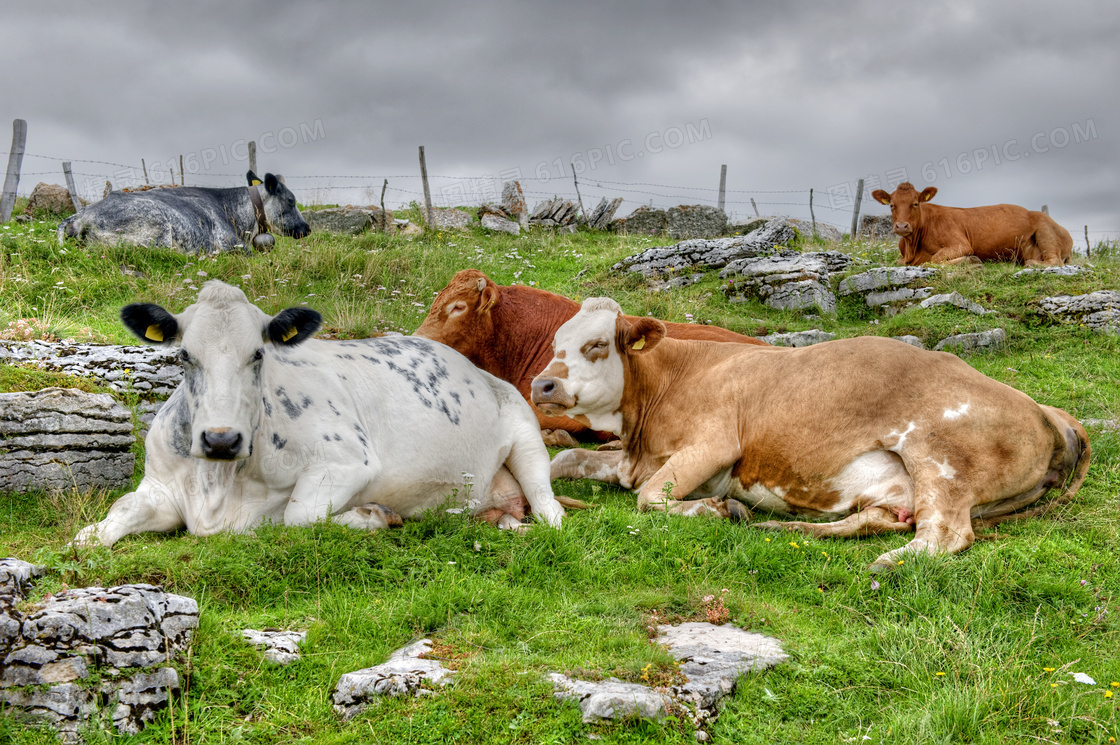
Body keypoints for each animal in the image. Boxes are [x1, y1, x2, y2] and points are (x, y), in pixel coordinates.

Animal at [75, 278, 568, 546]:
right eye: (184, 356)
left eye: (258, 354)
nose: (220, 439)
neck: (218, 486)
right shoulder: (159, 485)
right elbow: (109, 519)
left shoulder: (348, 460)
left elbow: (297, 518)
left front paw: (372, 515)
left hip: (526, 435)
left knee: (550, 510)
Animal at [528, 295, 1088, 569]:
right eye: (555, 342)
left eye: (597, 345)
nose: (542, 384)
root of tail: (1044, 409)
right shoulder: (631, 457)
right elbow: (563, 460)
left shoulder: (714, 443)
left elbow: (648, 498)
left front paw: (713, 509)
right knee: (878, 520)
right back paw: (783, 528)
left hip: (941, 458)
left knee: (944, 534)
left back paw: (888, 565)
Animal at [869, 182, 1070, 267]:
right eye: (892, 205)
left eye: (916, 203)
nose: (902, 226)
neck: (913, 248)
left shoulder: (961, 243)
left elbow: (935, 258)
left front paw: (971, 260)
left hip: (1044, 230)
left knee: (1055, 261)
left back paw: (1030, 264)